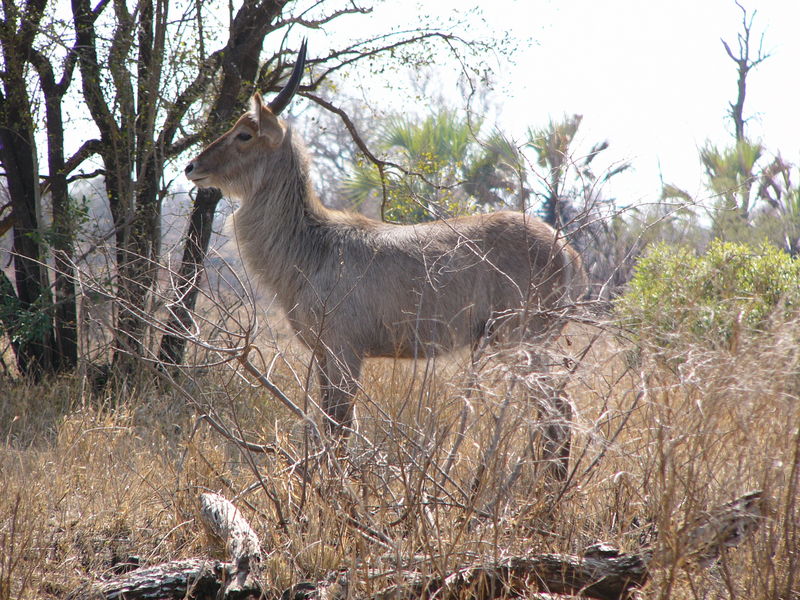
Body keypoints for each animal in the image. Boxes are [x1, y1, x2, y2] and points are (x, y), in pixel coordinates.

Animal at [188, 41, 588, 474]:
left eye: (244, 134)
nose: (192, 166)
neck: (312, 242)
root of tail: (567, 250)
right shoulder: (325, 355)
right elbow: (330, 423)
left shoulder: (344, 349)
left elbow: (341, 427)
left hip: (523, 338)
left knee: (559, 410)